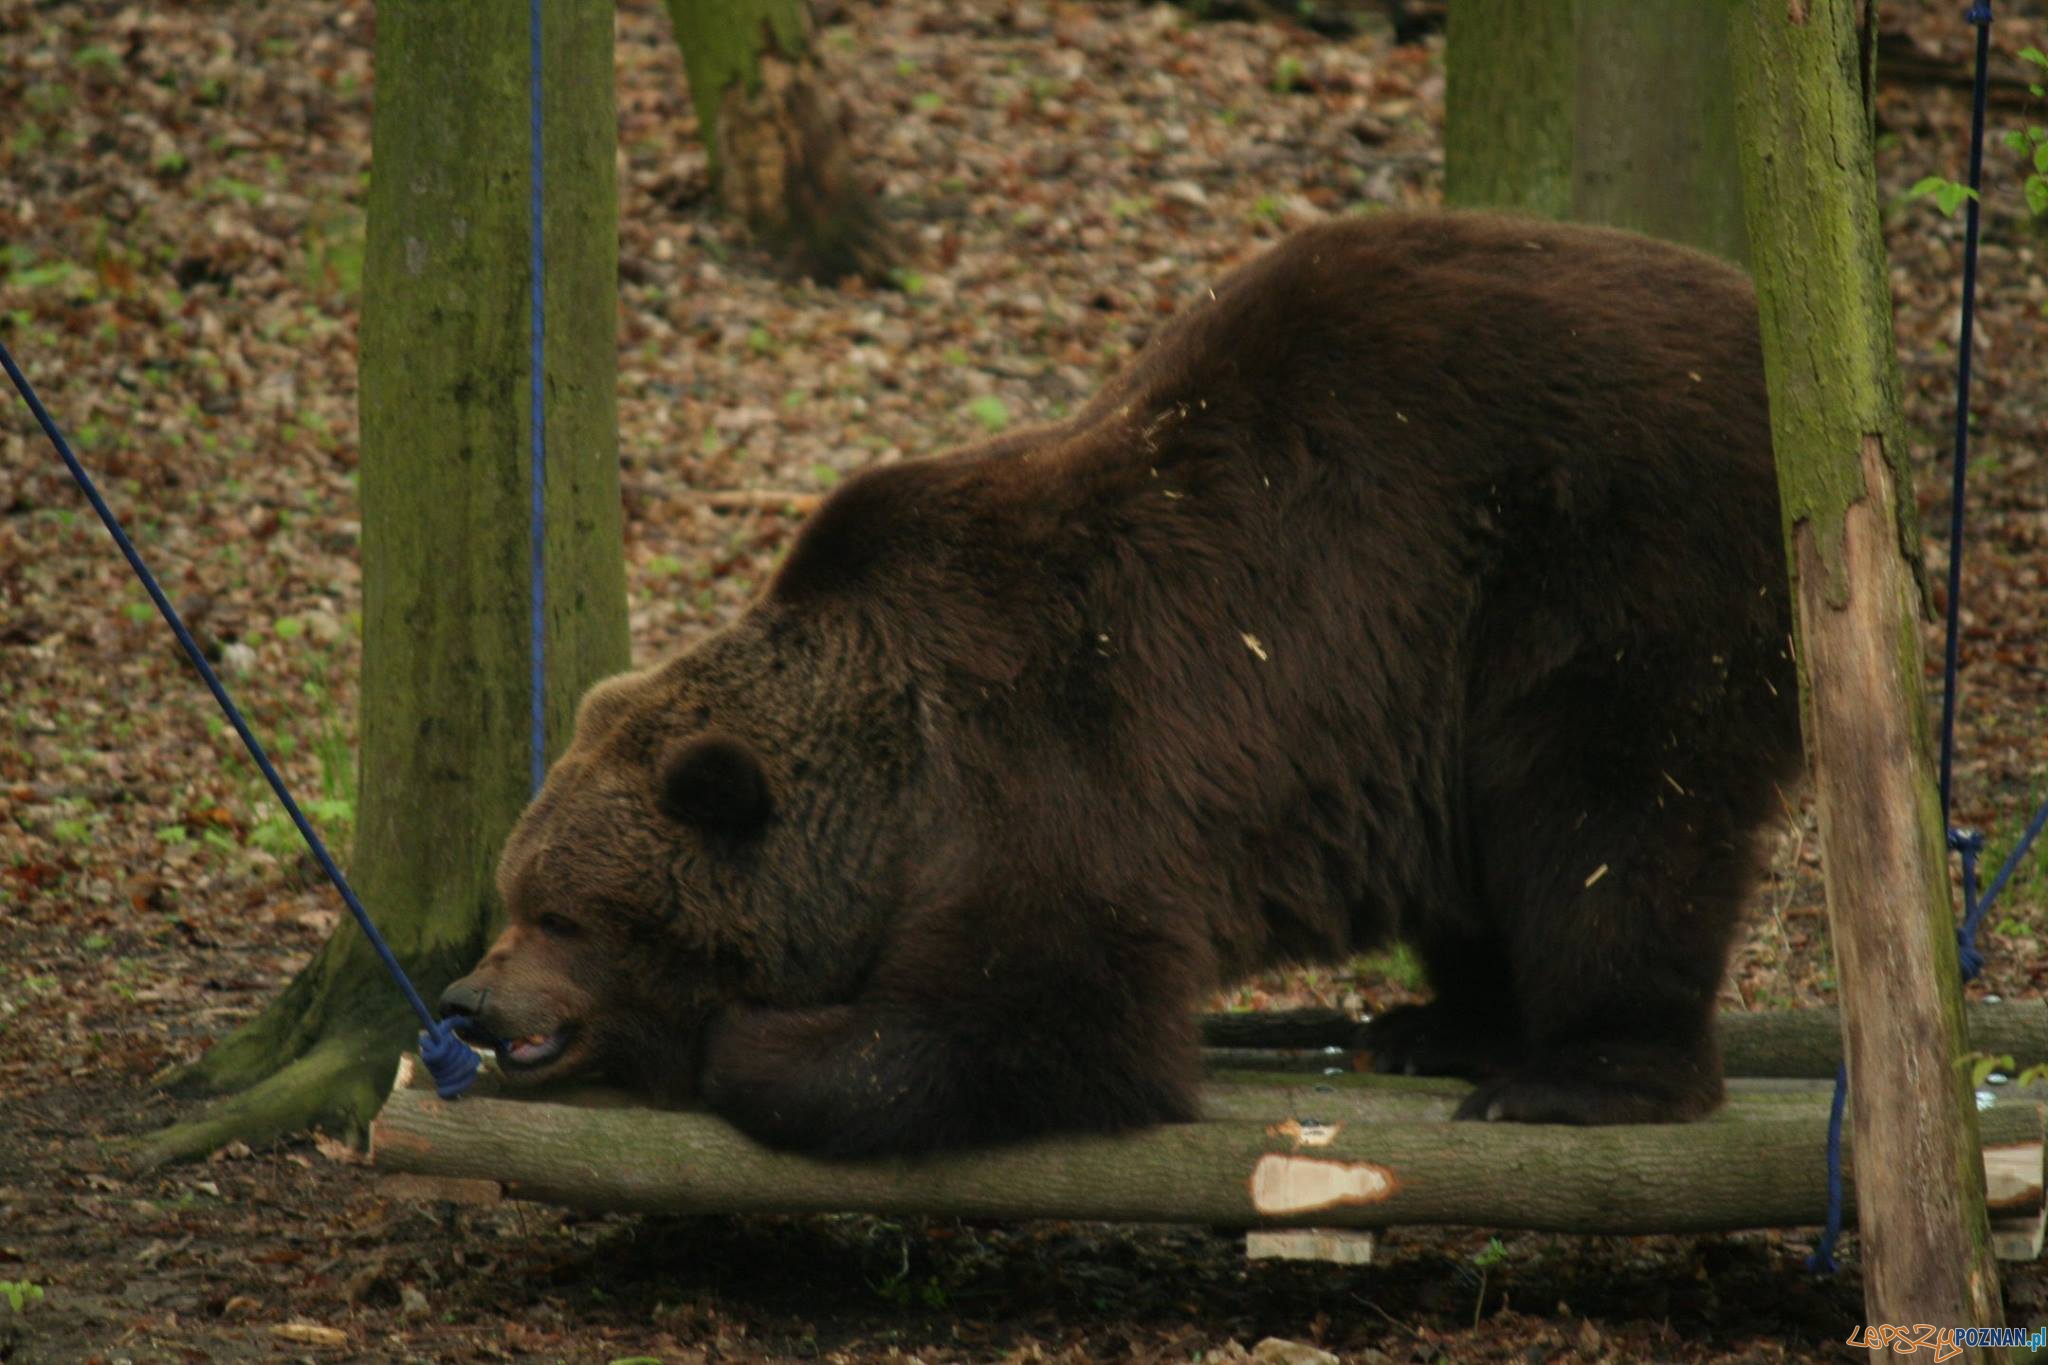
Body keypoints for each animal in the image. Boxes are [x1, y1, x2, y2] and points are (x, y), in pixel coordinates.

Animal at [440, 210, 1802, 1154]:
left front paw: (744, 1036)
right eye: (516, 893)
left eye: (564, 914)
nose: (471, 1003)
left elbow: (1042, 1016)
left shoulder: (1050, 768)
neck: (890, 795)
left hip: (1613, 556)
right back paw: (1439, 1027)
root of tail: (1765, 325)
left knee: (1608, 817)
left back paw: (1574, 1073)